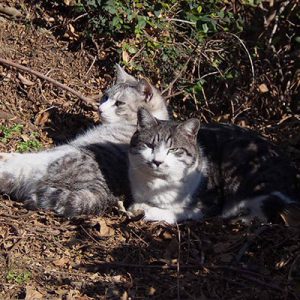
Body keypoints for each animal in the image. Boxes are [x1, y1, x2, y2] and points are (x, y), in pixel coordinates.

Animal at [129, 108, 300, 225]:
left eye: (173, 149)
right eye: (149, 145)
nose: (157, 161)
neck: (157, 185)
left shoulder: (209, 203)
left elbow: (179, 211)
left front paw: (146, 210)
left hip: (237, 153)